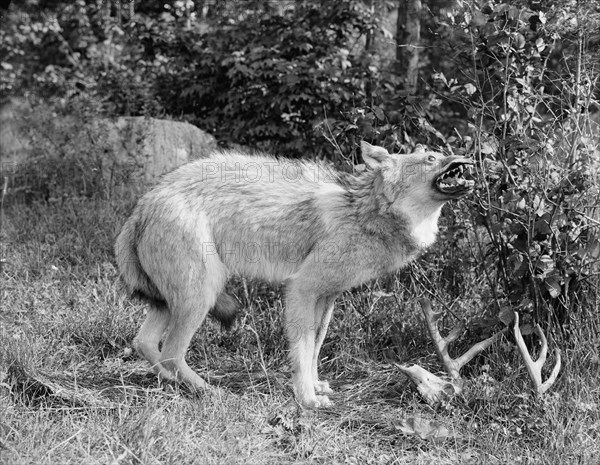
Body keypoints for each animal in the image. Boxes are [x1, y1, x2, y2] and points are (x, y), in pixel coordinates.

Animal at [116, 140, 474, 406]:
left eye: (443, 151)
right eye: (430, 158)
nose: (467, 158)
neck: (364, 214)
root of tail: (143, 204)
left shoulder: (327, 298)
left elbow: (315, 348)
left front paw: (315, 387)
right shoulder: (302, 289)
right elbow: (301, 350)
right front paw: (307, 399)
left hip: (175, 302)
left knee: (145, 344)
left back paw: (173, 384)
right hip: (201, 296)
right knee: (171, 354)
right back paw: (211, 392)